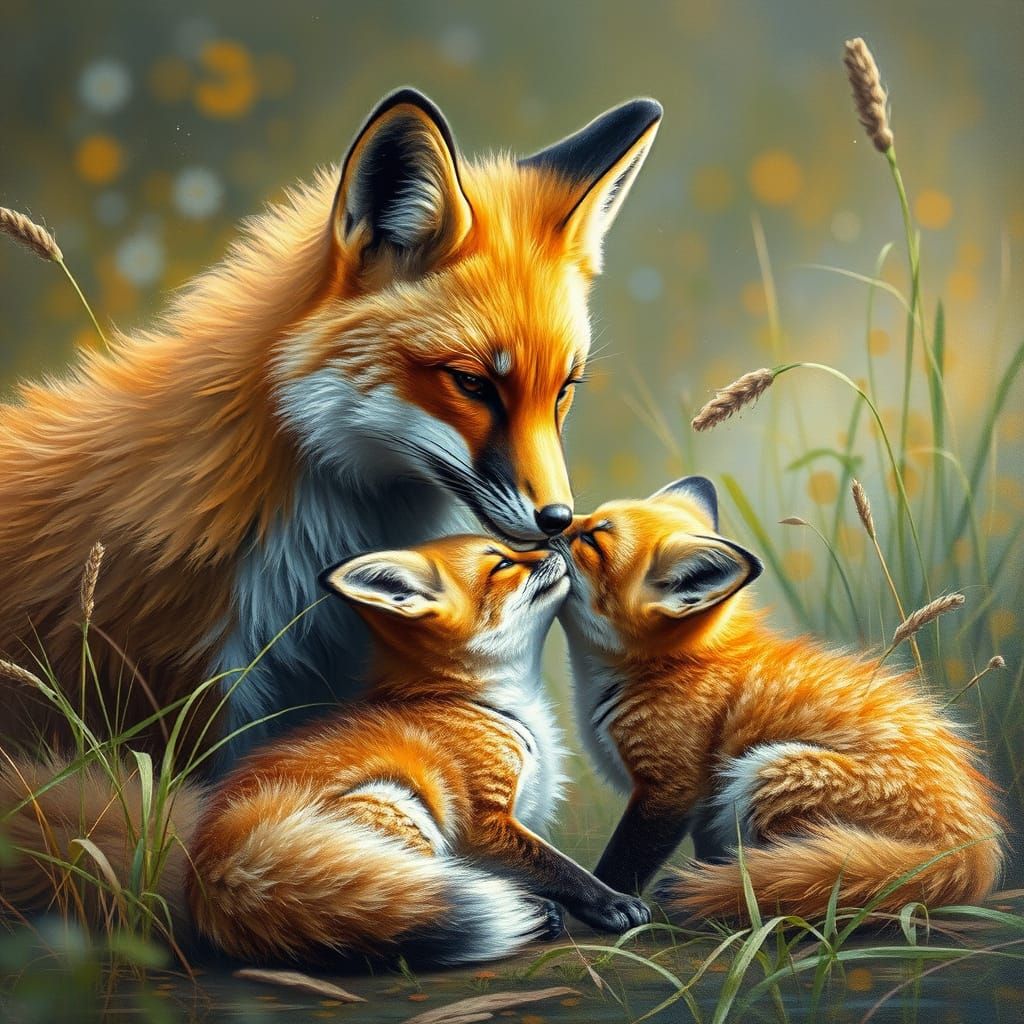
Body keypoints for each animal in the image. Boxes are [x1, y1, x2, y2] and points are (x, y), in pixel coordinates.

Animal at [555, 476, 1004, 920]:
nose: (549, 519)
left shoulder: (671, 789)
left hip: (768, 773)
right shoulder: (698, 811)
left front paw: (608, 903)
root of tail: (972, 849)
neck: (673, 665)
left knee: (790, 871)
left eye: (592, 538)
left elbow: (625, 861)